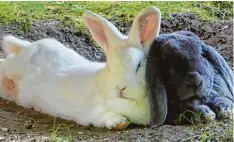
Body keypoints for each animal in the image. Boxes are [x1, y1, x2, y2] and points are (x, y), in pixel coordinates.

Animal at [0, 6, 161, 129]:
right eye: (109, 66)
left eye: (139, 65)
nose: (120, 88)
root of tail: (26, 47)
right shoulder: (91, 112)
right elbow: (102, 116)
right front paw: (119, 121)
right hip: (14, 67)